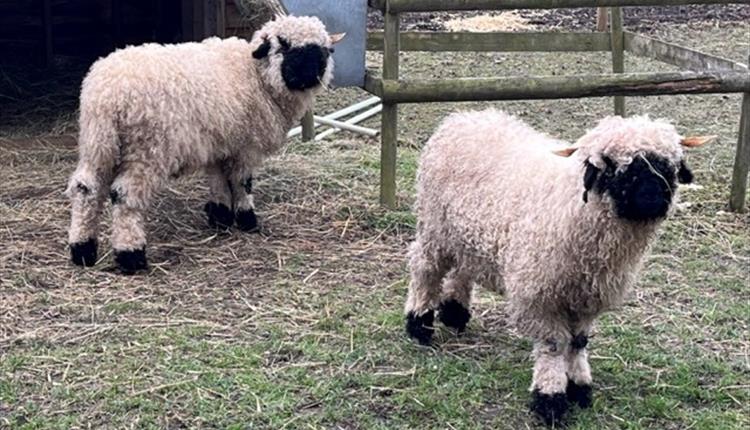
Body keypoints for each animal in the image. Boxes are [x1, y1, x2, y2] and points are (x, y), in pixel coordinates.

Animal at [66, 15, 346, 276]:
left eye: (325, 50)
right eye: (283, 45)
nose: (311, 76)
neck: (256, 76)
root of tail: (106, 94)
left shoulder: (218, 144)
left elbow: (218, 181)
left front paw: (220, 216)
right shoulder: (245, 147)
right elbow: (242, 183)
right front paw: (247, 219)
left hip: (97, 143)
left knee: (86, 189)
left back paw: (82, 250)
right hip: (147, 150)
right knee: (125, 197)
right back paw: (131, 255)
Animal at [406, 109, 712, 424]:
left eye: (668, 167)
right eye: (614, 168)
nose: (652, 199)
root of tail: (464, 117)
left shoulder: (586, 297)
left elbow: (578, 343)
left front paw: (579, 387)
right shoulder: (540, 296)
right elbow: (553, 346)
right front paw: (550, 398)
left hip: (466, 234)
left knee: (462, 269)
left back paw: (454, 313)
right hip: (435, 228)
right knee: (424, 269)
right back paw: (419, 323)